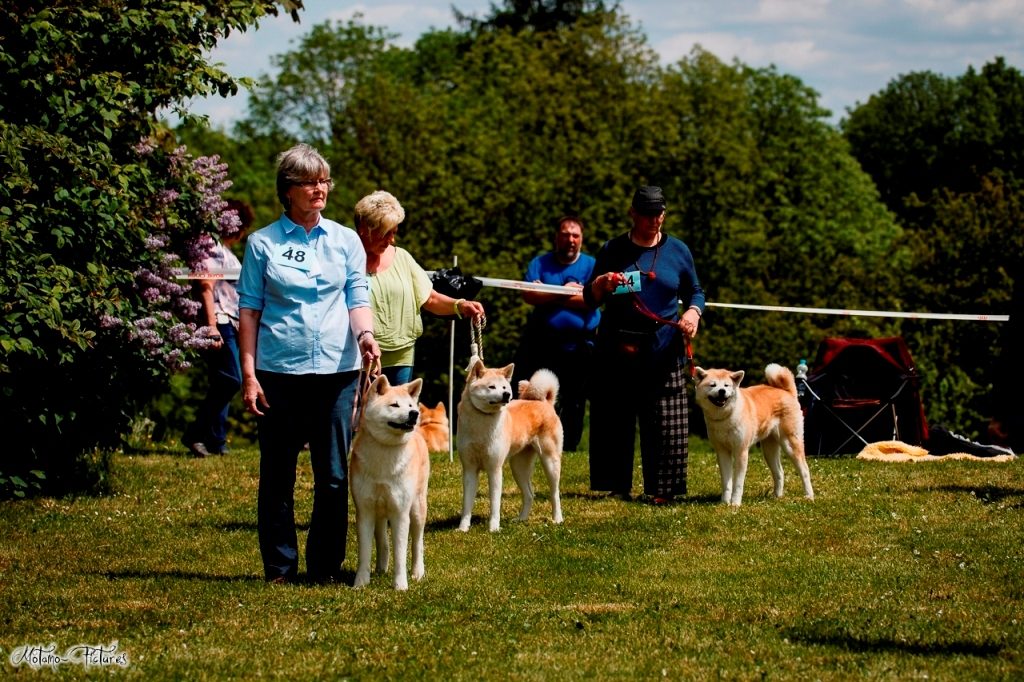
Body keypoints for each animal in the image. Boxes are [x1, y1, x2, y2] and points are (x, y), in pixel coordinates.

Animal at [348, 374, 428, 585]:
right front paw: (360, 583)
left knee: (417, 542)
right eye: (394, 405)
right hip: (380, 512)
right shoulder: (365, 511)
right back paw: (381, 567)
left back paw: (418, 572)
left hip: (417, 508)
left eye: (409, 405)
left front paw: (400, 585)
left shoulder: (400, 512)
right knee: (382, 540)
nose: (414, 413)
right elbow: (365, 552)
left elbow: (400, 553)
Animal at [458, 358, 565, 528]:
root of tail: (545, 403)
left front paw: (494, 528)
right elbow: (466, 504)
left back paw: (557, 519)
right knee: (529, 494)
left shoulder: (494, 468)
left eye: (504, 387)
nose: (507, 394)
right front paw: (463, 528)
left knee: (554, 493)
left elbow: (495, 503)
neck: (481, 423)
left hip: (550, 462)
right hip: (518, 467)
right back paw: (521, 519)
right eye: (491, 387)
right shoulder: (469, 469)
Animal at [696, 360, 815, 503]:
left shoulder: (741, 451)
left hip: (790, 444)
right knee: (779, 472)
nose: (722, 391)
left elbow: (738, 483)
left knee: (805, 470)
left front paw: (735, 503)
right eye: (712, 385)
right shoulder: (722, 451)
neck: (725, 417)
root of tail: (787, 392)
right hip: (769, 450)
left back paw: (809, 496)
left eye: (726, 385)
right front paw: (724, 503)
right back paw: (777, 497)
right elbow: (726, 483)